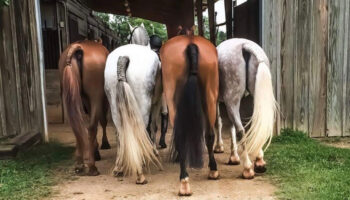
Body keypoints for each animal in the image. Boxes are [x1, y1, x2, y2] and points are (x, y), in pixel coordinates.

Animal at [58, 39, 110, 176]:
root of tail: (77, 47)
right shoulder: (103, 100)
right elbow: (102, 121)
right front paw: (103, 144)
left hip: (71, 96)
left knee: (77, 126)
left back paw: (80, 164)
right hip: (95, 96)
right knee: (91, 127)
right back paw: (92, 166)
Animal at [104, 44, 163, 184]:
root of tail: (125, 56)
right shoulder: (157, 103)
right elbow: (153, 126)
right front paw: (153, 150)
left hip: (114, 106)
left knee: (120, 132)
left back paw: (119, 167)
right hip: (142, 104)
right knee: (140, 129)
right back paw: (140, 172)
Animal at [161, 34, 219, 195]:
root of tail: (190, 43)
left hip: (172, 98)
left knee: (180, 137)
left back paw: (184, 181)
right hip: (210, 96)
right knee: (210, 135)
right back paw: (213, 170)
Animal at [215, 38, 278, 179]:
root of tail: (245, 45)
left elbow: (219, 123)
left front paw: (219, 147)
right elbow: (230, 126)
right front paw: (233, 156)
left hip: (231, 101)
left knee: (241, 130)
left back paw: (248, 169)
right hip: (254, 97)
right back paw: (259, 162)